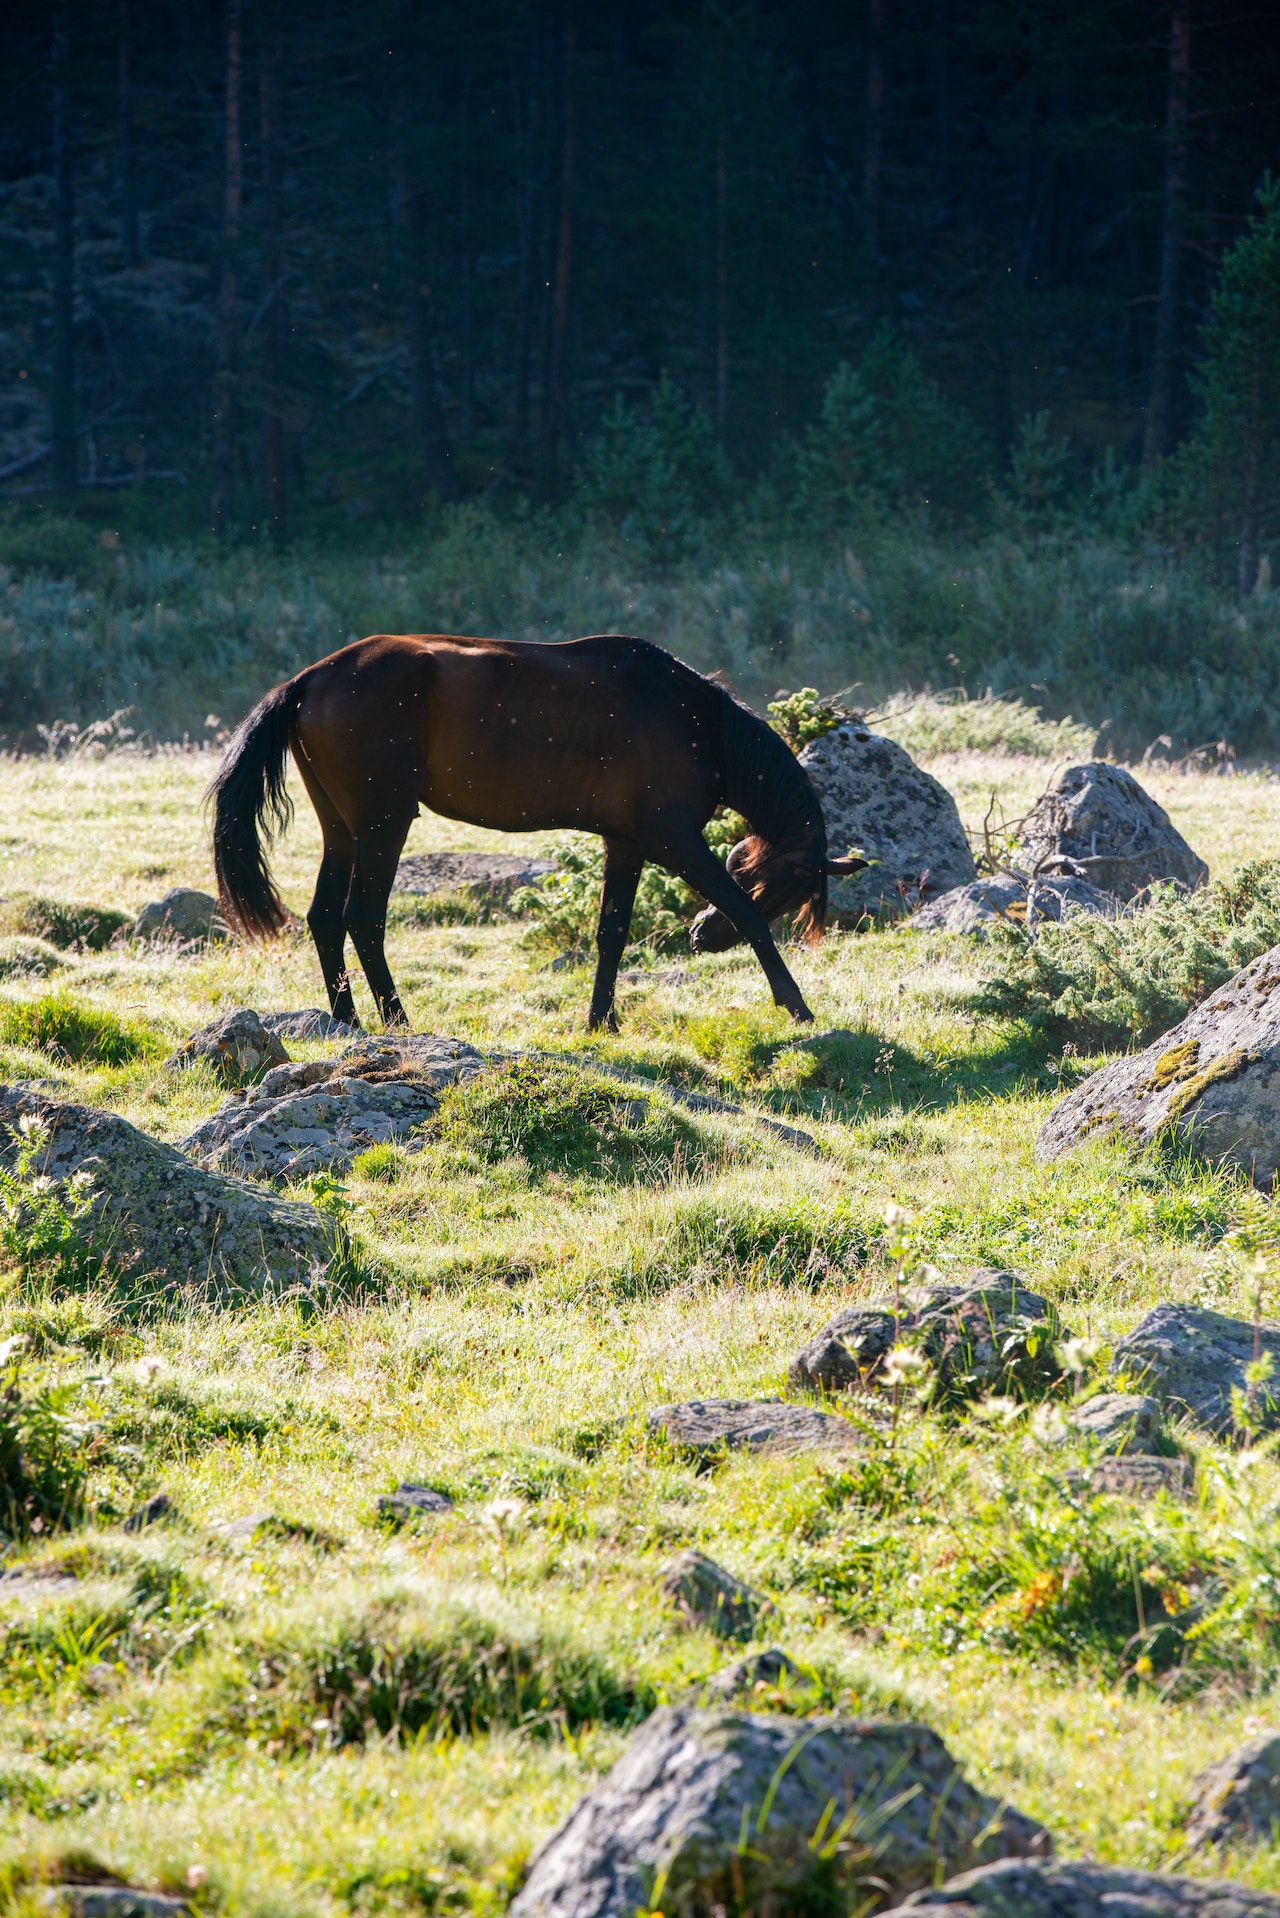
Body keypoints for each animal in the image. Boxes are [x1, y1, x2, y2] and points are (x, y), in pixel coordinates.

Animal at [210, 636, 867, 1035]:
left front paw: (601, 1021)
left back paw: (347, 1022)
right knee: (362, 917)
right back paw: (397, 1021)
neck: (696, 723)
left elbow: (611, 933)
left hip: (342, 830)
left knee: (325, 917)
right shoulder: (674, 840)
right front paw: (796, 1004)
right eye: (779, 887)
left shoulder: (625, 845)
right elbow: (744, 914)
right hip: (383, 825)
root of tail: (306, 680)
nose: (702, 936)